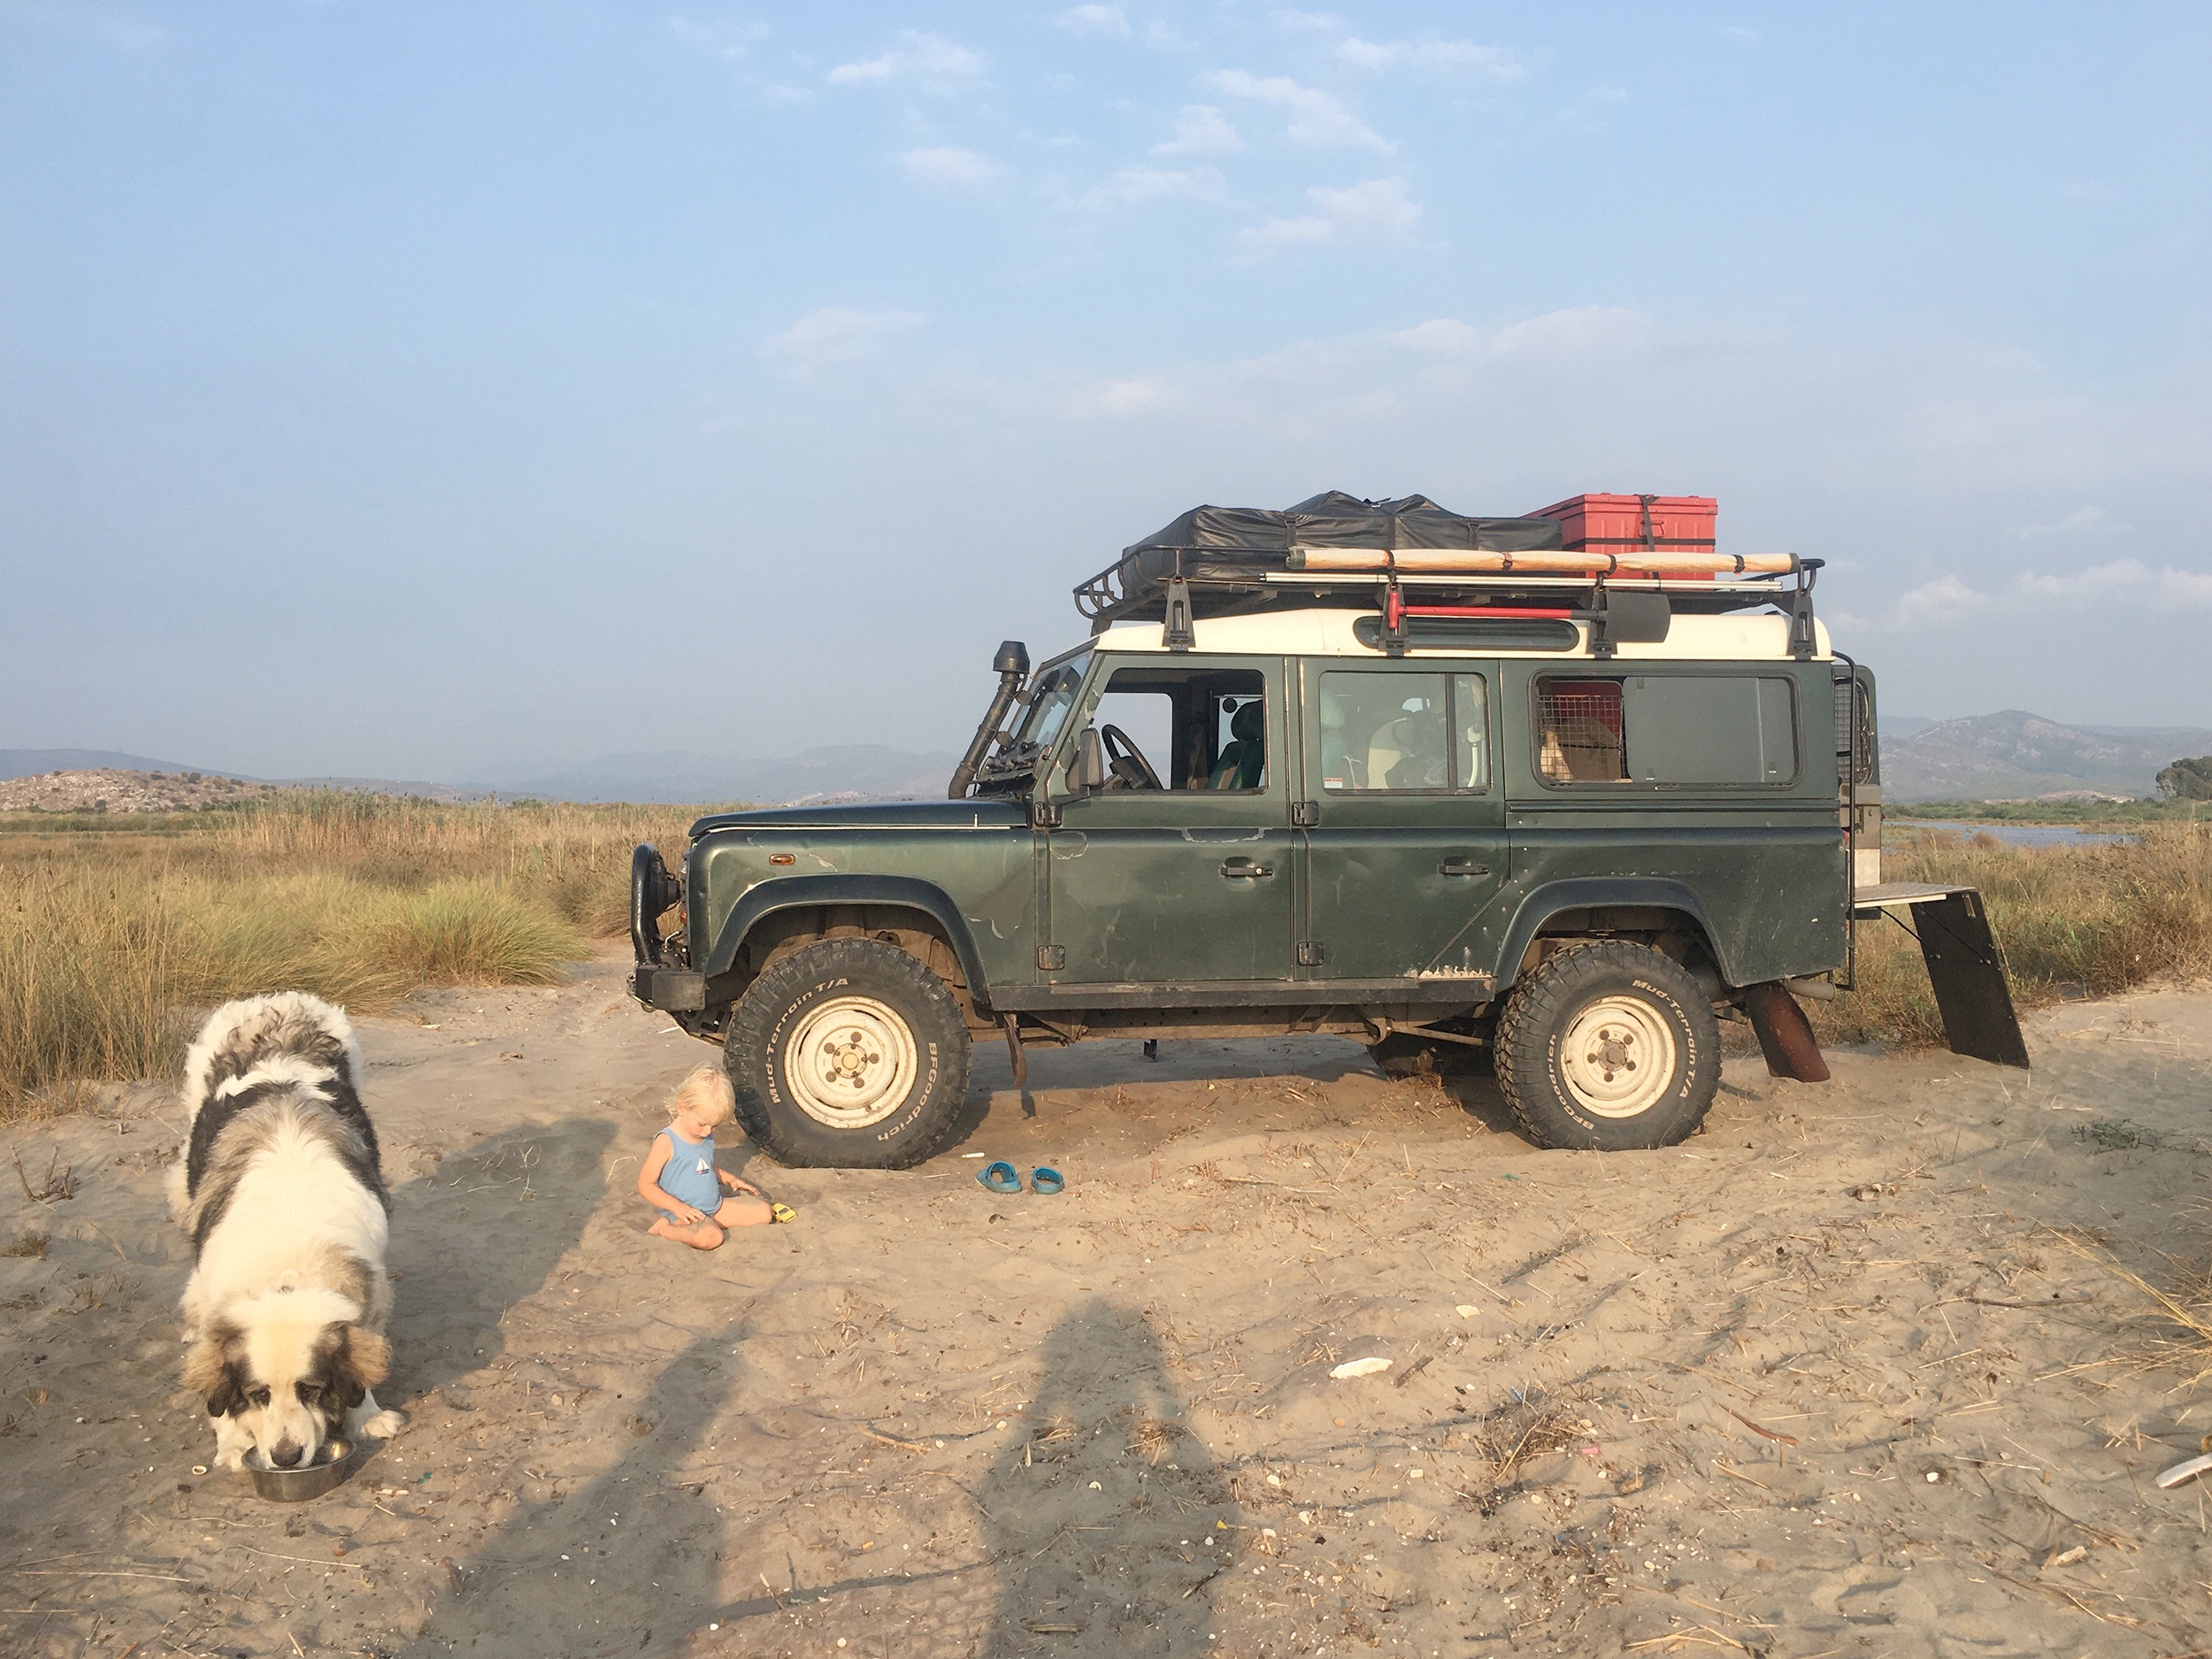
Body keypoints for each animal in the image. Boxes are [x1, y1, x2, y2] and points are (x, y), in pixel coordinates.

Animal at [167, 992, 405, 1470]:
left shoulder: (371, 1289)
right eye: (257, 1394)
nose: (286, 1457)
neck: (287, 1272)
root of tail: (275, 1004)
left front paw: (366, 1415)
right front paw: (232, 1441)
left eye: (311, 1389)